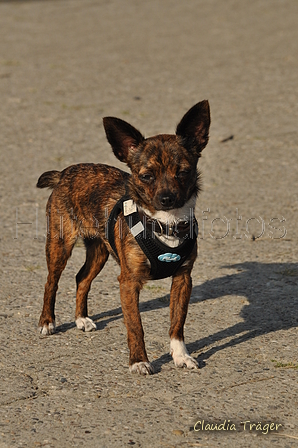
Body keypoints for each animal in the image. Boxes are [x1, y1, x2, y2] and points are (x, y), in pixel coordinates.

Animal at [36, 100, 210, 374]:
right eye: (146, 176)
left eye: (183, 172)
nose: (167, 198)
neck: (165, 224)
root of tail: (64, 173)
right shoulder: (129, 283)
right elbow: (135, 325)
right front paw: (139, 361)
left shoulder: (183, 279)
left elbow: (177, 323)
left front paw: (181, 356)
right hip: (59, 246)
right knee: (50, 283)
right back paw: (47, 322)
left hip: (99, 252)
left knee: (82, 278)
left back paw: (81, 319)